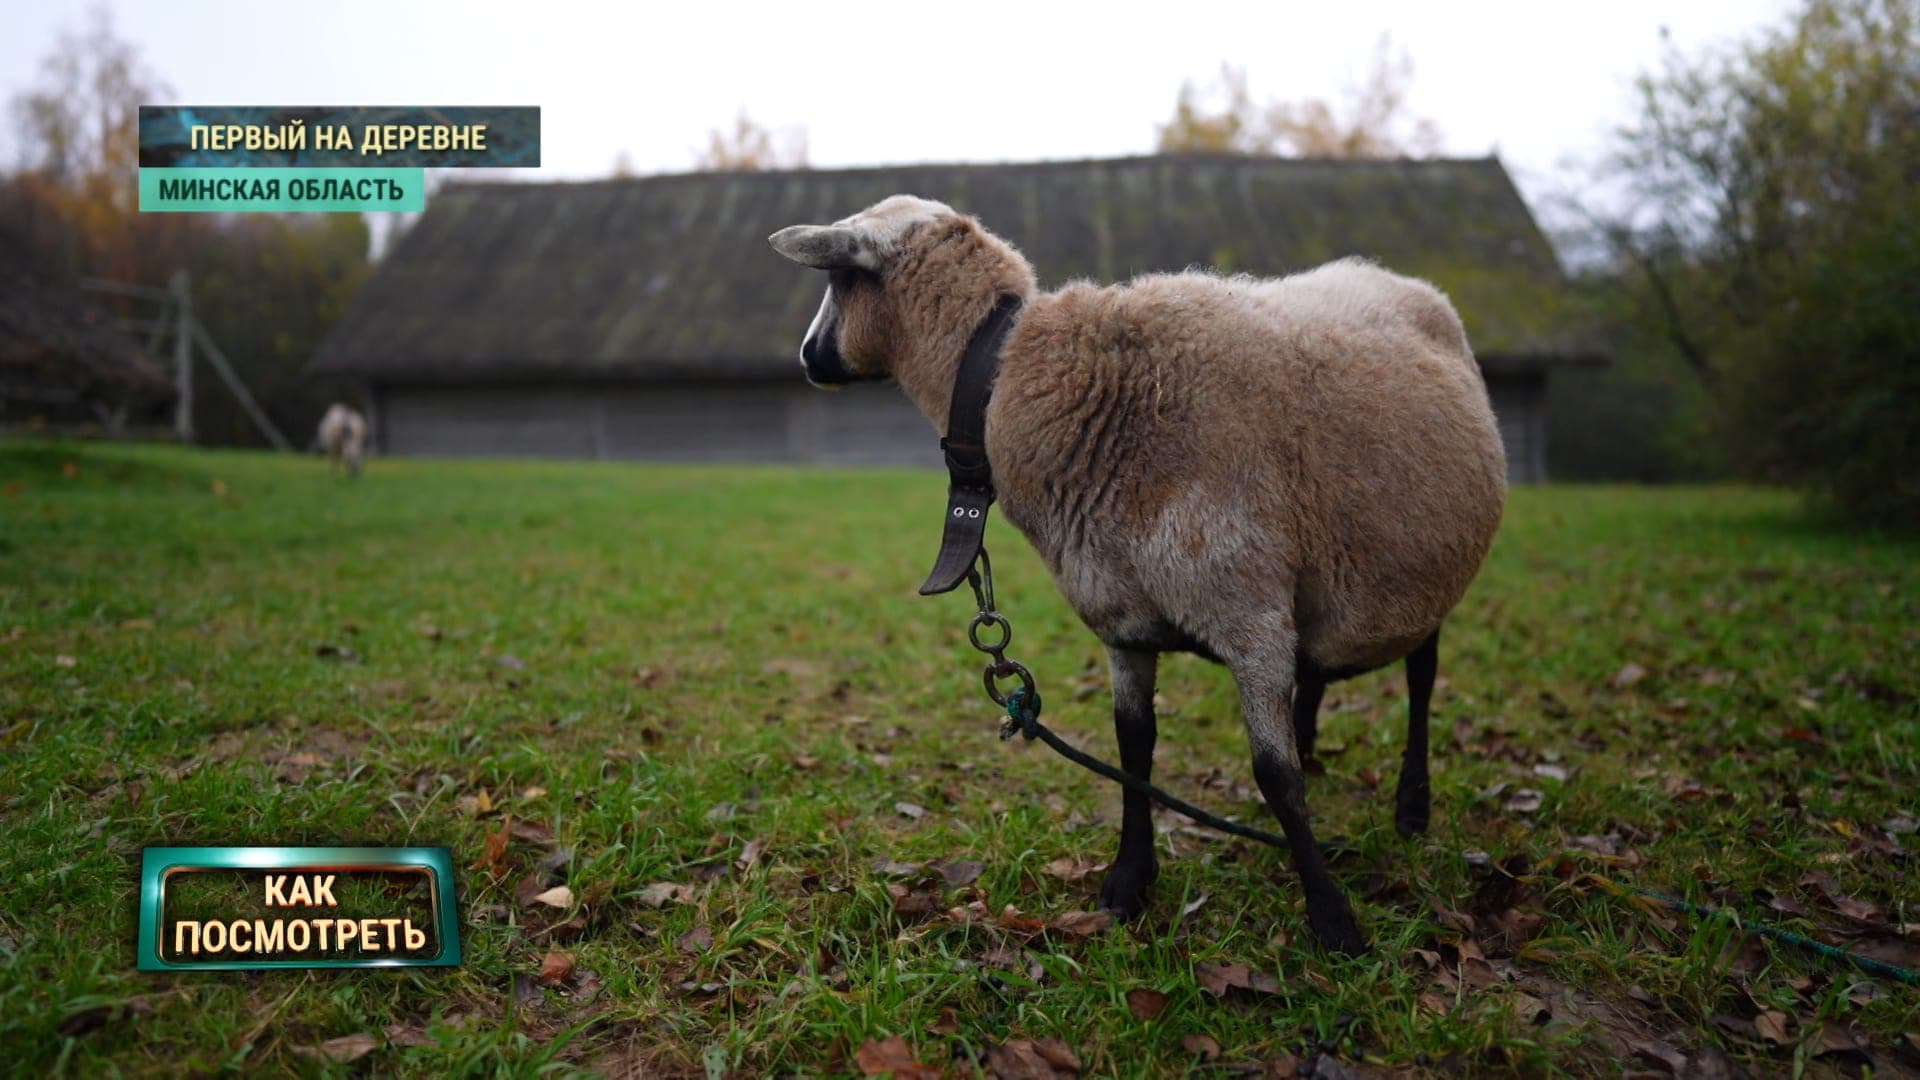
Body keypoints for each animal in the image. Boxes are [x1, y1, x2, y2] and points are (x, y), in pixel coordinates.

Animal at [769, 195, 1506, 955]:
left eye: (839, 278)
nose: (806, 357)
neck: (1025, 379)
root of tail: (1396, 279)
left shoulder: (1249, 613)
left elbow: (1274, 776)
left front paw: (1333, 920)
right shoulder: (1124, 620)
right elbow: (1135, 748)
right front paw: (1128, 882)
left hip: (1421, 574)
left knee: (1421, 677)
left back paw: (1412, 805)